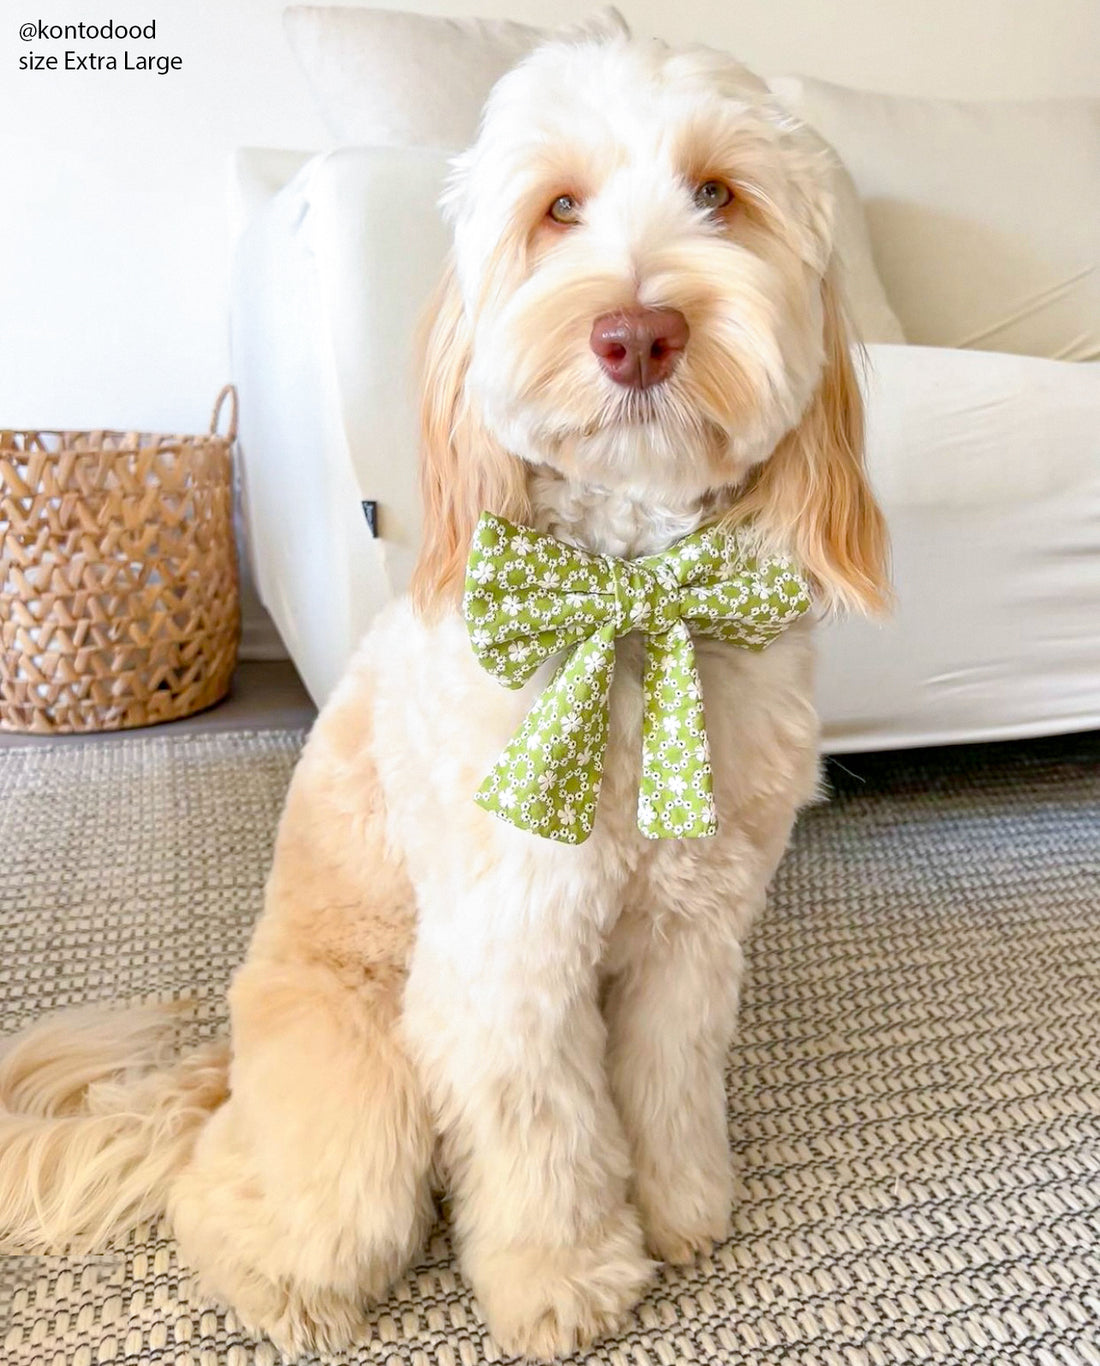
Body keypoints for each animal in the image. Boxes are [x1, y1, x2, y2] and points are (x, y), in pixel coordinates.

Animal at [0, 24, 885, 1366]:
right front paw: (565, 1281)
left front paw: (684, 1208)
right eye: (557, 209)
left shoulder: (690, 930)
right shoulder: (505, 947)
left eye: (718, 195)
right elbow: (543, 1133)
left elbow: (669, 1079)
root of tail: (221, 1066)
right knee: (231, 1195)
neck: (628, 603)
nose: (635, 332)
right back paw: (292, 1293)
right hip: (359, 1084)